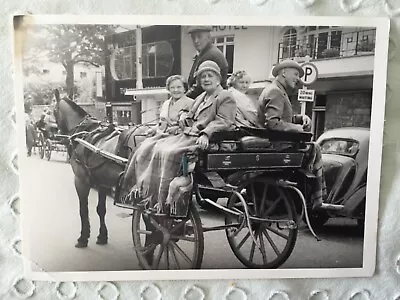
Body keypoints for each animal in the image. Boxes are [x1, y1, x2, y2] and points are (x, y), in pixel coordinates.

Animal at [54, 89, 151, 248]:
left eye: (54, 111)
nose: (58, 134)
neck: (83, 131)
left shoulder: (80, 181)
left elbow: (83, 209)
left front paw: (83, 237)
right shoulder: (102, 183)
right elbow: (101, 209)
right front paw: (102, 236)